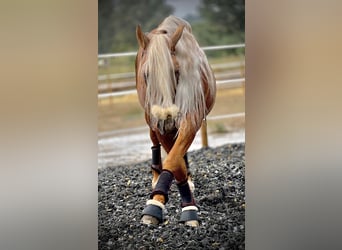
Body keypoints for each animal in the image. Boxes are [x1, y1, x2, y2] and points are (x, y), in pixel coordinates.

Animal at [135, 15, 215, 227]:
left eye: (177, 71)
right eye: (146, 74)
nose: (167, 116)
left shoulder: (191, 119)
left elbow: (174, 159)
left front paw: (186, 208)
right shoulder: (160, 126)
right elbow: (174, 161)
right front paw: (157, 203)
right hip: (150, 120)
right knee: (155, 143)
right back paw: (156, 177)